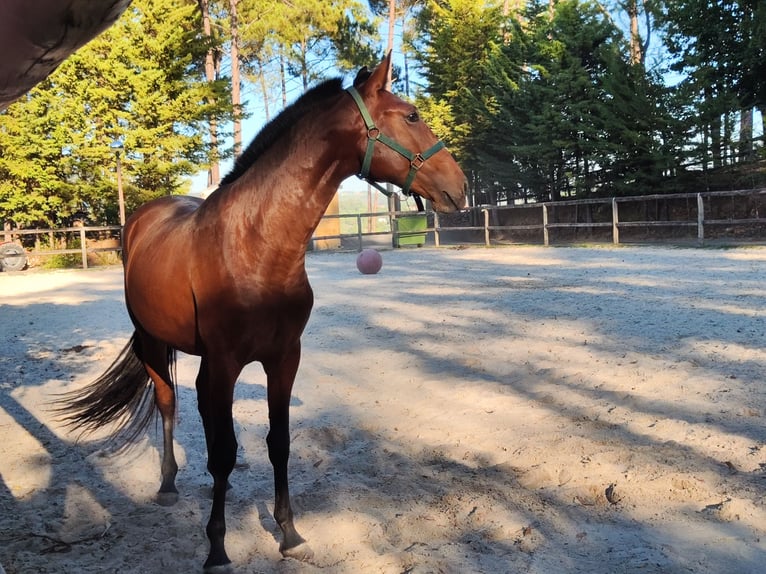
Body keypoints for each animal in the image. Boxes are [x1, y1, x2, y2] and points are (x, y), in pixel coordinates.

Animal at [58, 52, 467, 570]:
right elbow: (222, 450)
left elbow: (277, 443)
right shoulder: (227, 362)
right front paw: (216, 547)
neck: (256, 245)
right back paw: (168, 483)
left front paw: (288, 532)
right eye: (411, 116)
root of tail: (143, 217)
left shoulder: (283, 358)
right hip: (154, 342)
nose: (460, 186)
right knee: (169, 403)